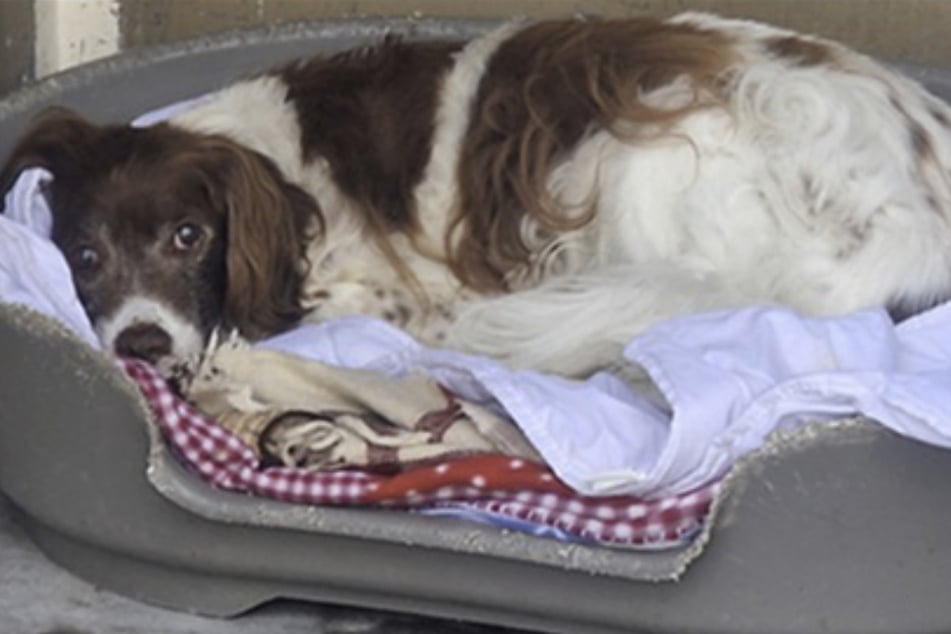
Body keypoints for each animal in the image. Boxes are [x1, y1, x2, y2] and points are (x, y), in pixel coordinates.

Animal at [1, 13, 951, 376]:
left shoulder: (400, 295)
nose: (141, 347)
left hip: (649, 146)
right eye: (84, 255)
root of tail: (909, 209)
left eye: (189, 237)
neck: (272, 163)